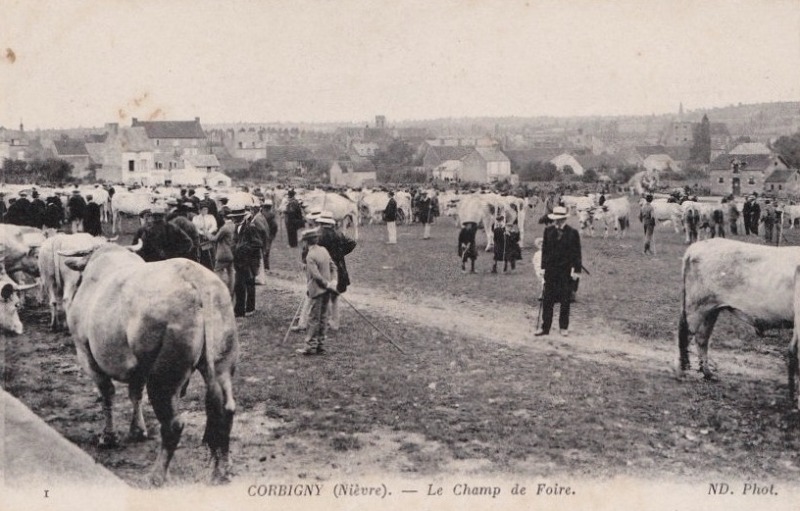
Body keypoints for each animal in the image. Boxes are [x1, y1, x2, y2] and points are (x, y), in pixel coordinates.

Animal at [61, 242, 239, 486]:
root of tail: (195, 278)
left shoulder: (86, 353)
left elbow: (107, 394)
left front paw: (108, 436)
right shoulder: (138, 369)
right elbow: (135, 394)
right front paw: (137, 430)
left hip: (163, 378)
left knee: (173, 425)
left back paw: (156, 477)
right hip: (222, 363)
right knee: (226, 410)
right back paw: (222, 470)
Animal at [676, 238, 800, 382]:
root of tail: (696, 246)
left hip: (711, 310)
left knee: (702, 338)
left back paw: (708, 373)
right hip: (696, 306)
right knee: (685, 335)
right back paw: (682, 372)